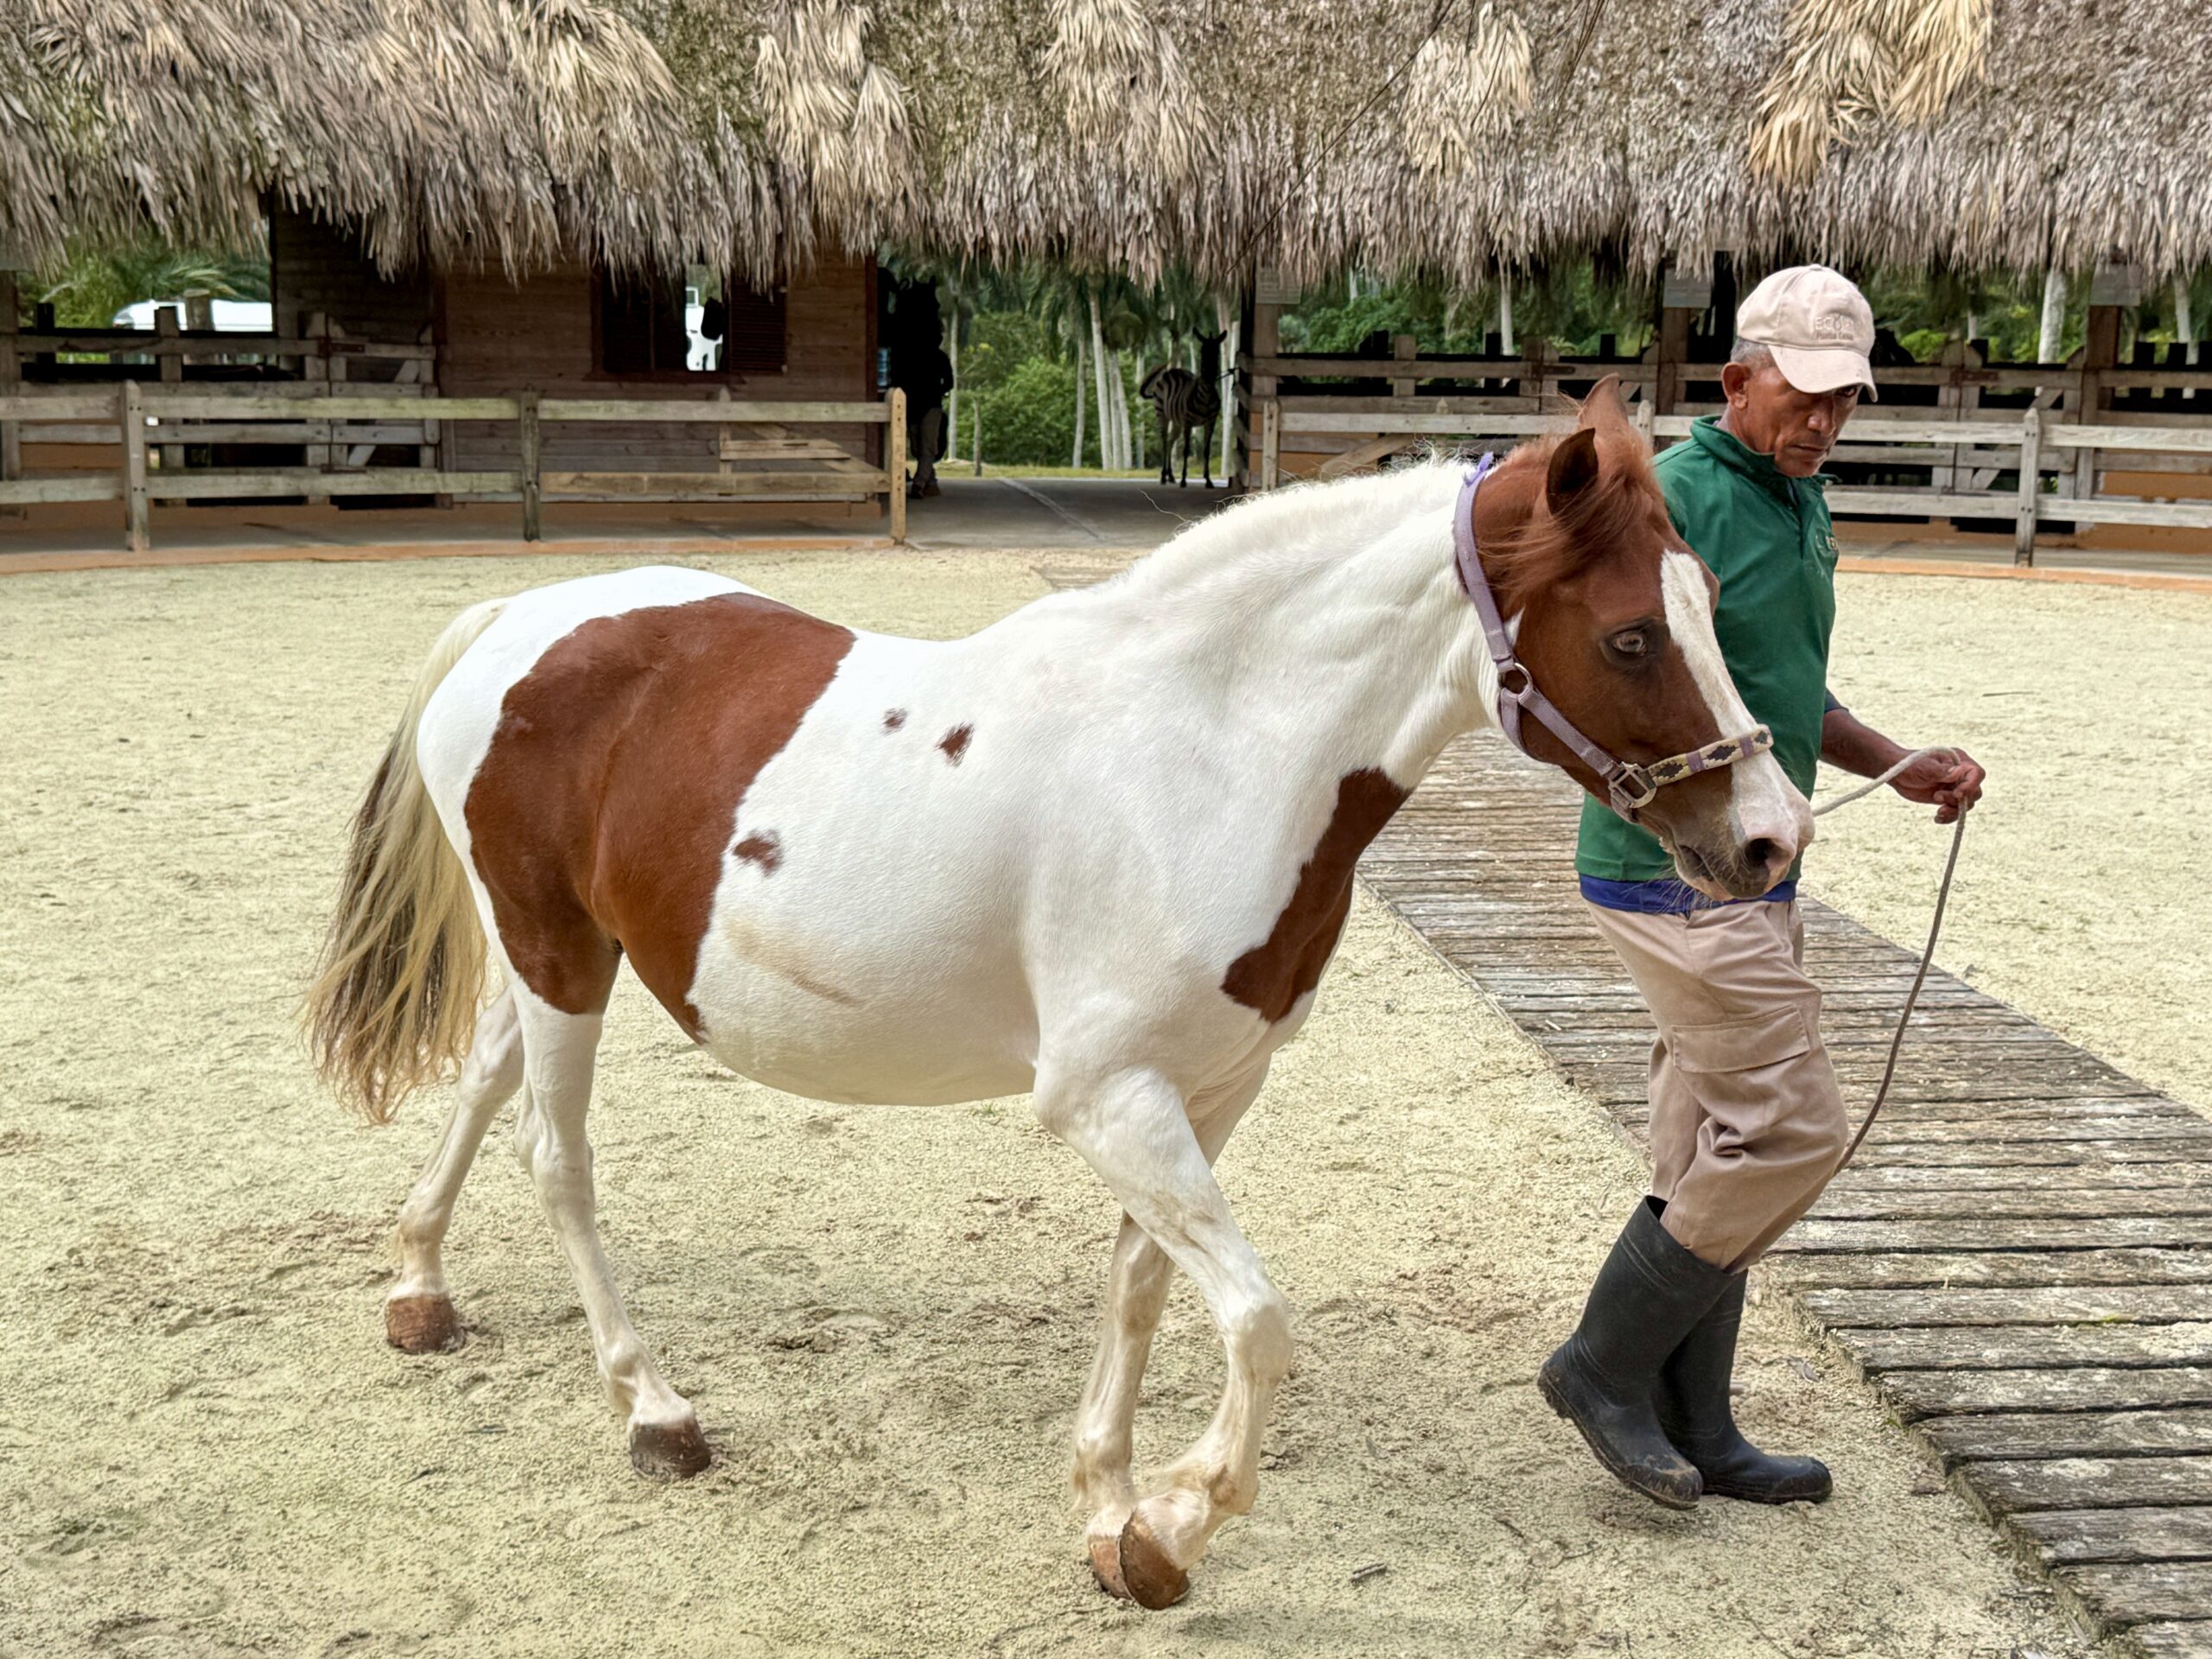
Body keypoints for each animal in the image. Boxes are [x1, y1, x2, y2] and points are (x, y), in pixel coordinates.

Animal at [305, 376, 1807, 1610]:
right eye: (1630, 638)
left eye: (1710, 611)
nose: (1769, 840)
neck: (1203, 753)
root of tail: (520, 617)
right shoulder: (1103, 1097)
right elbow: (1257, 1324)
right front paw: (1176, 1527)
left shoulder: (1206, 1088)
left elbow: (1142, 1291)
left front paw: (1110, 1508)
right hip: (558, 954)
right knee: (557, 1159)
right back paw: (653, 1410)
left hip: (555, 954)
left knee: (483, 1080)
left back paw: (419, 1288)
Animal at [1138, 330, 1226, 488]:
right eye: (1202, 351)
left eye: (1216, 351)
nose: (1208, 377)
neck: (1206, 396)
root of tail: (1171, 371)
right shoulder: (1189, 422)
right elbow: (1186, 450)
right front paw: (1184, 480)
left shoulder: (1210, 422)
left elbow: (1207, 451)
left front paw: (1208, 480)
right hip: (1162, 414)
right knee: (1164, 442)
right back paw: (1163, 476)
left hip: (1177, 422)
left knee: (1170, 441)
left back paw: (1171, 476)